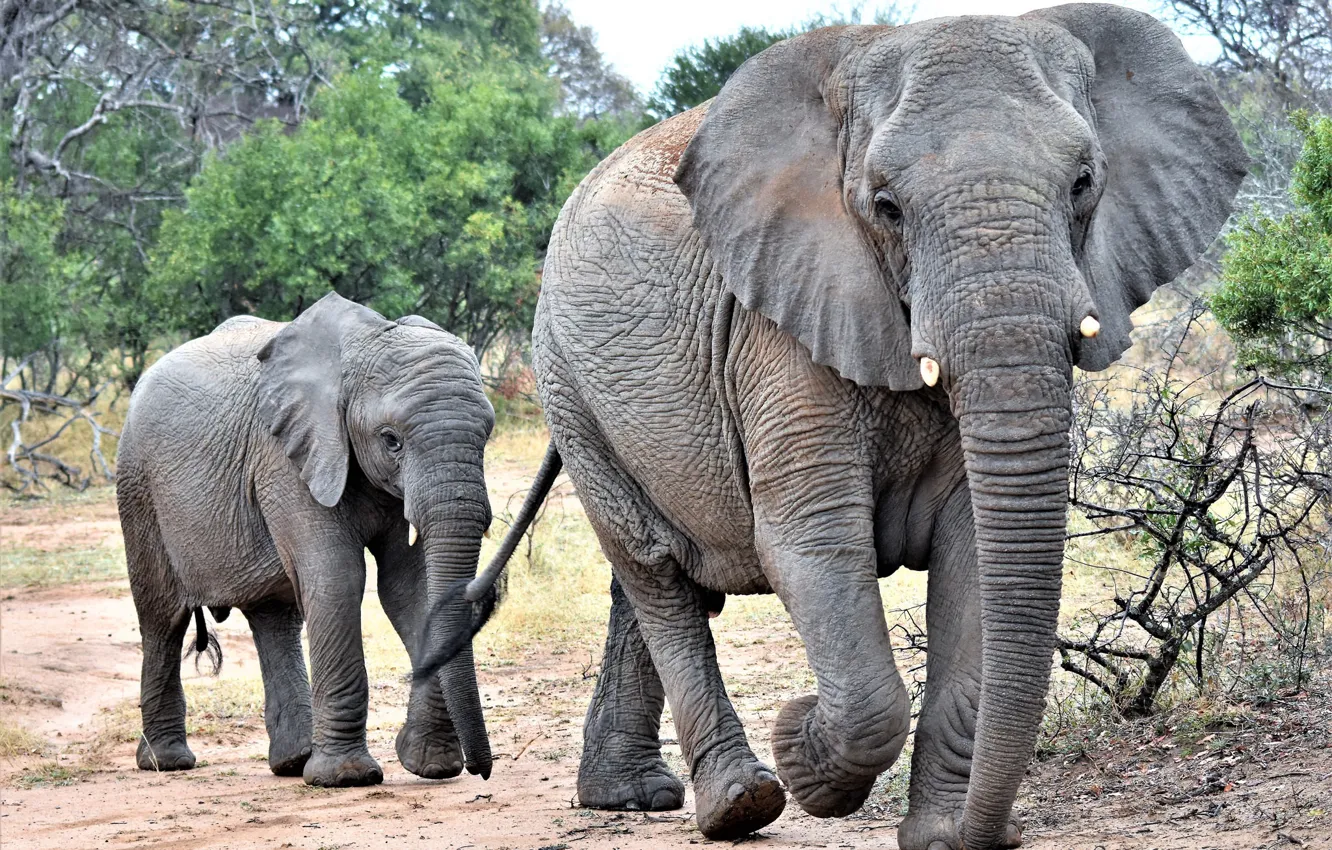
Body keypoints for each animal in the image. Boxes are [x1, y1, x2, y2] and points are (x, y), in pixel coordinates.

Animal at [117, 294, 495, 794]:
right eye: (391, 440)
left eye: (487, 434)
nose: (481, 770)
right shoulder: (285, 457)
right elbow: (337, 578)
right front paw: (347, 778)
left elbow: (407, 590)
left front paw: (430, 765)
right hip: (138, 487)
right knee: (162, 617)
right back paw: (168, 763)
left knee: (274, 616)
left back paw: (293, 761)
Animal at [431, 6, 1252, 850]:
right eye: (885, 206)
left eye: (1084, 183)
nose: (987, 834)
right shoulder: (776, 328)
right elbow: (815, 542)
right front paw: (801, 746)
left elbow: (975, 552)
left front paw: (934, 835)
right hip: (567, 382)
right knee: (654, 569)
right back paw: (738, 803)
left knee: (663, 579)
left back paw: (631, 797)